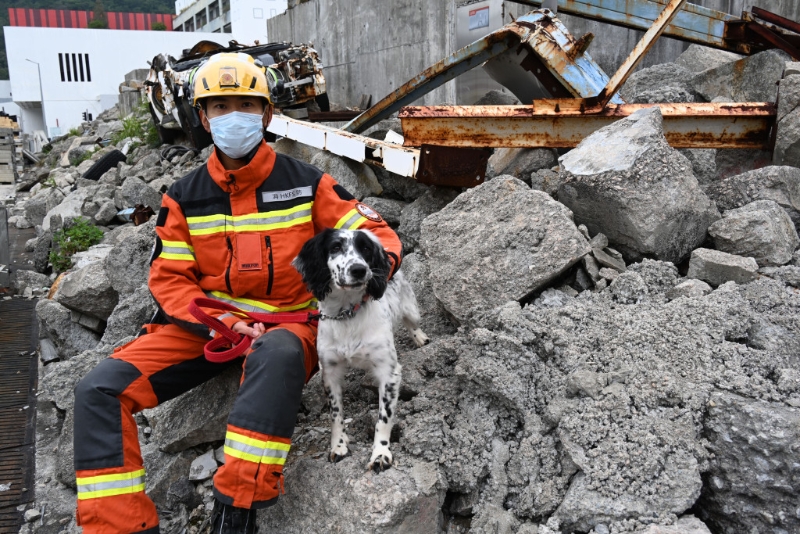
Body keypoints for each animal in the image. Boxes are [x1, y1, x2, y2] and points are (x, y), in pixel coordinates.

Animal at [294, 230, 428, 474]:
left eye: (365, 248)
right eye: (335, 247)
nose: (359, 269)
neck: (347, 314)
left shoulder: (389, 372)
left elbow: (383, 418)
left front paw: (381, 454)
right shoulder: (330, 372)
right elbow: (335, 415)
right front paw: (338, 446)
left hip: (411, 309)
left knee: (412, 323)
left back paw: (420, 338)